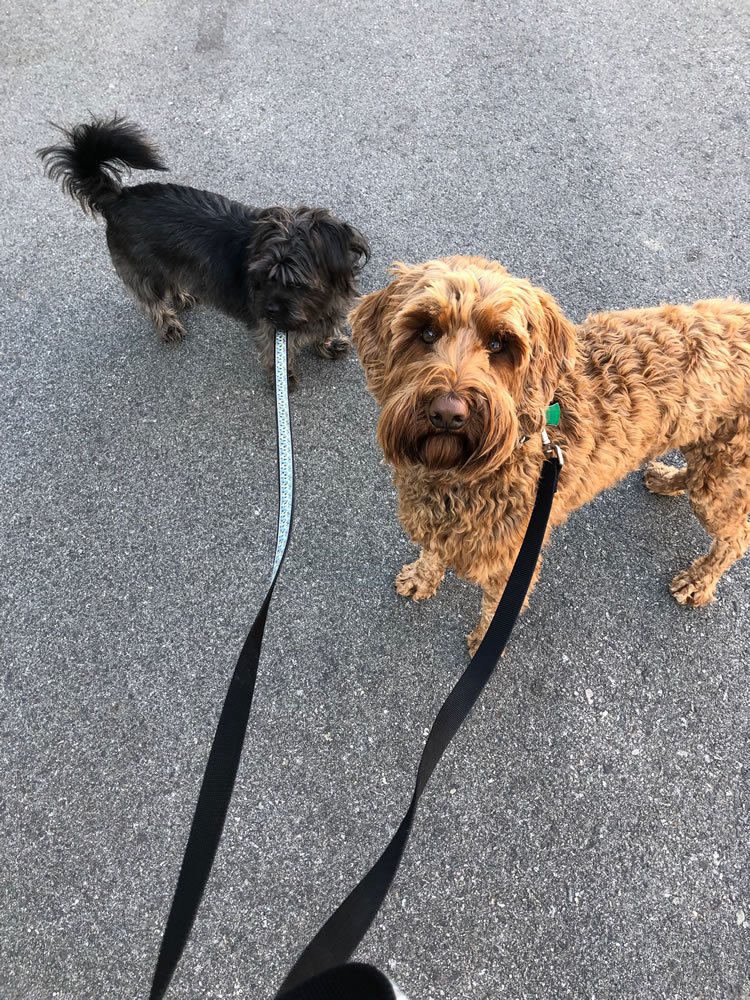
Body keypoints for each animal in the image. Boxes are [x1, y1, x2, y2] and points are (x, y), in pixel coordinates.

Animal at [36, 115, 372, 384]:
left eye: (297, 283)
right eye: (264, 277)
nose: (268, 310)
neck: (318, 304)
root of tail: (119, 198)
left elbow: (323, 332)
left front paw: (326, 344)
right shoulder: (273, 334)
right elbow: (278, 357)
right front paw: (284, 380)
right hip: (144, 272)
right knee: (151, 300)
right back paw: (168, 323)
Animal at [352, 254, 750, 652]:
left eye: (498, 344)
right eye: (427, 333)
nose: (449, 413)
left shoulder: (513, 560)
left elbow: (495, 608)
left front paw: (483, 643)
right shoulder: (431, 518)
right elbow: (431, 552)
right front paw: (422, 577)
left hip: (724, 478)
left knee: (735, 537)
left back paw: (699, 580)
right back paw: (667, 479)